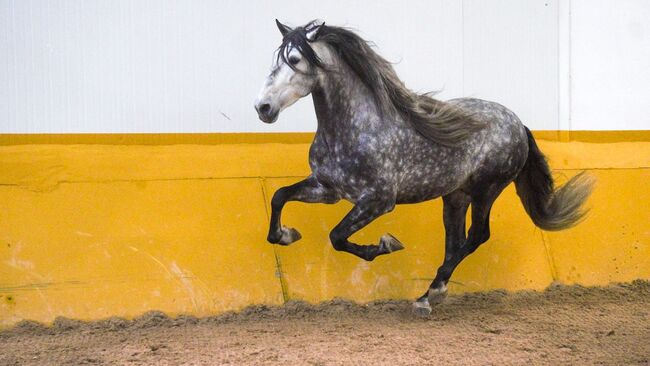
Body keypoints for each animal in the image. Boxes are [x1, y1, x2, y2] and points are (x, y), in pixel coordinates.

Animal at [253, 20, 592, 314]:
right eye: (276, 60)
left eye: (294, 59)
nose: (263, 108)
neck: (354, 128)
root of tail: (518, 124)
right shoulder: (327, 189)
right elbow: (280, 196)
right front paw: (286, 235)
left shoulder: (378, 201)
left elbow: (337, 236)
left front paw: (386, 245)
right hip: (455, 196)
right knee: (456, 241)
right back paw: (430, 294)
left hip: (487, 189)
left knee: (476, 236)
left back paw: (432, 294)